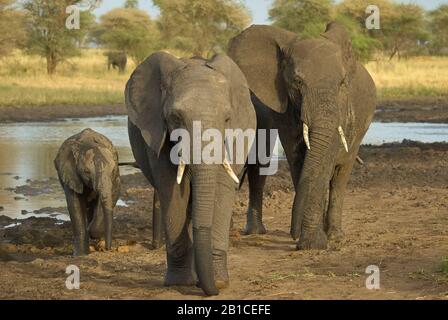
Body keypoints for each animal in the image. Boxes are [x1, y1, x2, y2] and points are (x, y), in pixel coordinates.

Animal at [54, 127, 121, 255]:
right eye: (86, 172)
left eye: (113, 170)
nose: (108, 249)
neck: (89, 143)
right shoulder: (71, 174)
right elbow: (75, 205)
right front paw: (80, 255)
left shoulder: (115, 176)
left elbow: (112, 194)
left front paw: (91, 231)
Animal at [125, 52, 256, 296]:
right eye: (176, 117)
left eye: (227, 119)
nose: (213, 291)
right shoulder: (157, 134)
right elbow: (173, 190)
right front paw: (181, 284)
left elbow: (222, 189)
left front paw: (220, 282)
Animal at [229, 22, 376, 250]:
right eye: (297, 82)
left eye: (342, 83)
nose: (293, 234)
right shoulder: (284, 111)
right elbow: (298, 160)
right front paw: (310, 241)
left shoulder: (341, 109)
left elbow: (324, 162)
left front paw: (313, 244)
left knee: (340, 175)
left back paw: (335, 236)